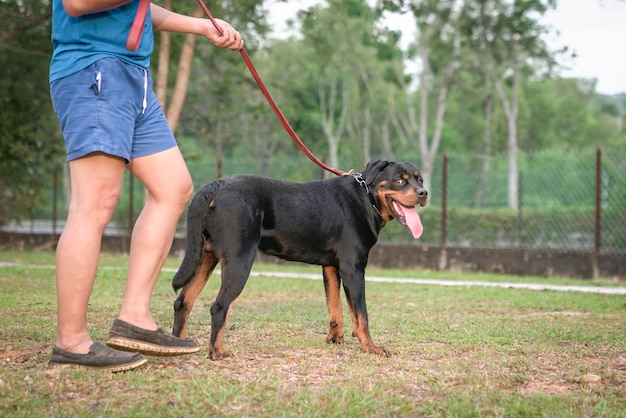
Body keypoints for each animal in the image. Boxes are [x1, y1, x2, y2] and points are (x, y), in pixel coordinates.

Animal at [169, 160, 424, 360]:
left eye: (419, 180)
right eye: (399, 181)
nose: (423, 193)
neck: (365, 198)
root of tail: (214, 187)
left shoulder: (331, 267)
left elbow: (335, 308)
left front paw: (335, 339)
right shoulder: (353, 267)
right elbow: (361, 316)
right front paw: (371, 348)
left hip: (205, 256)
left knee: (183, 301)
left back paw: (180, 346)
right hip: (239, 259)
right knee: (218, 306)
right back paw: (217, 352)